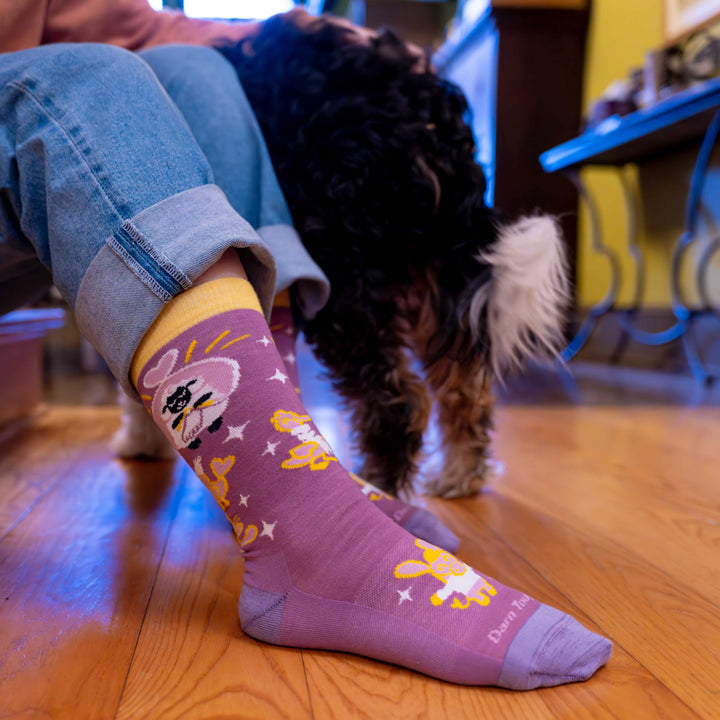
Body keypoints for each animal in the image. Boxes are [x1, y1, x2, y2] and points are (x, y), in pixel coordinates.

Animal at [217, 14, 564, 498]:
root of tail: (425, 115)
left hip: (344, 270)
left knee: (397, 399)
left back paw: (376, 484)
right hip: (436, 267)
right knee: (463, 385)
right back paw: (460, 475)